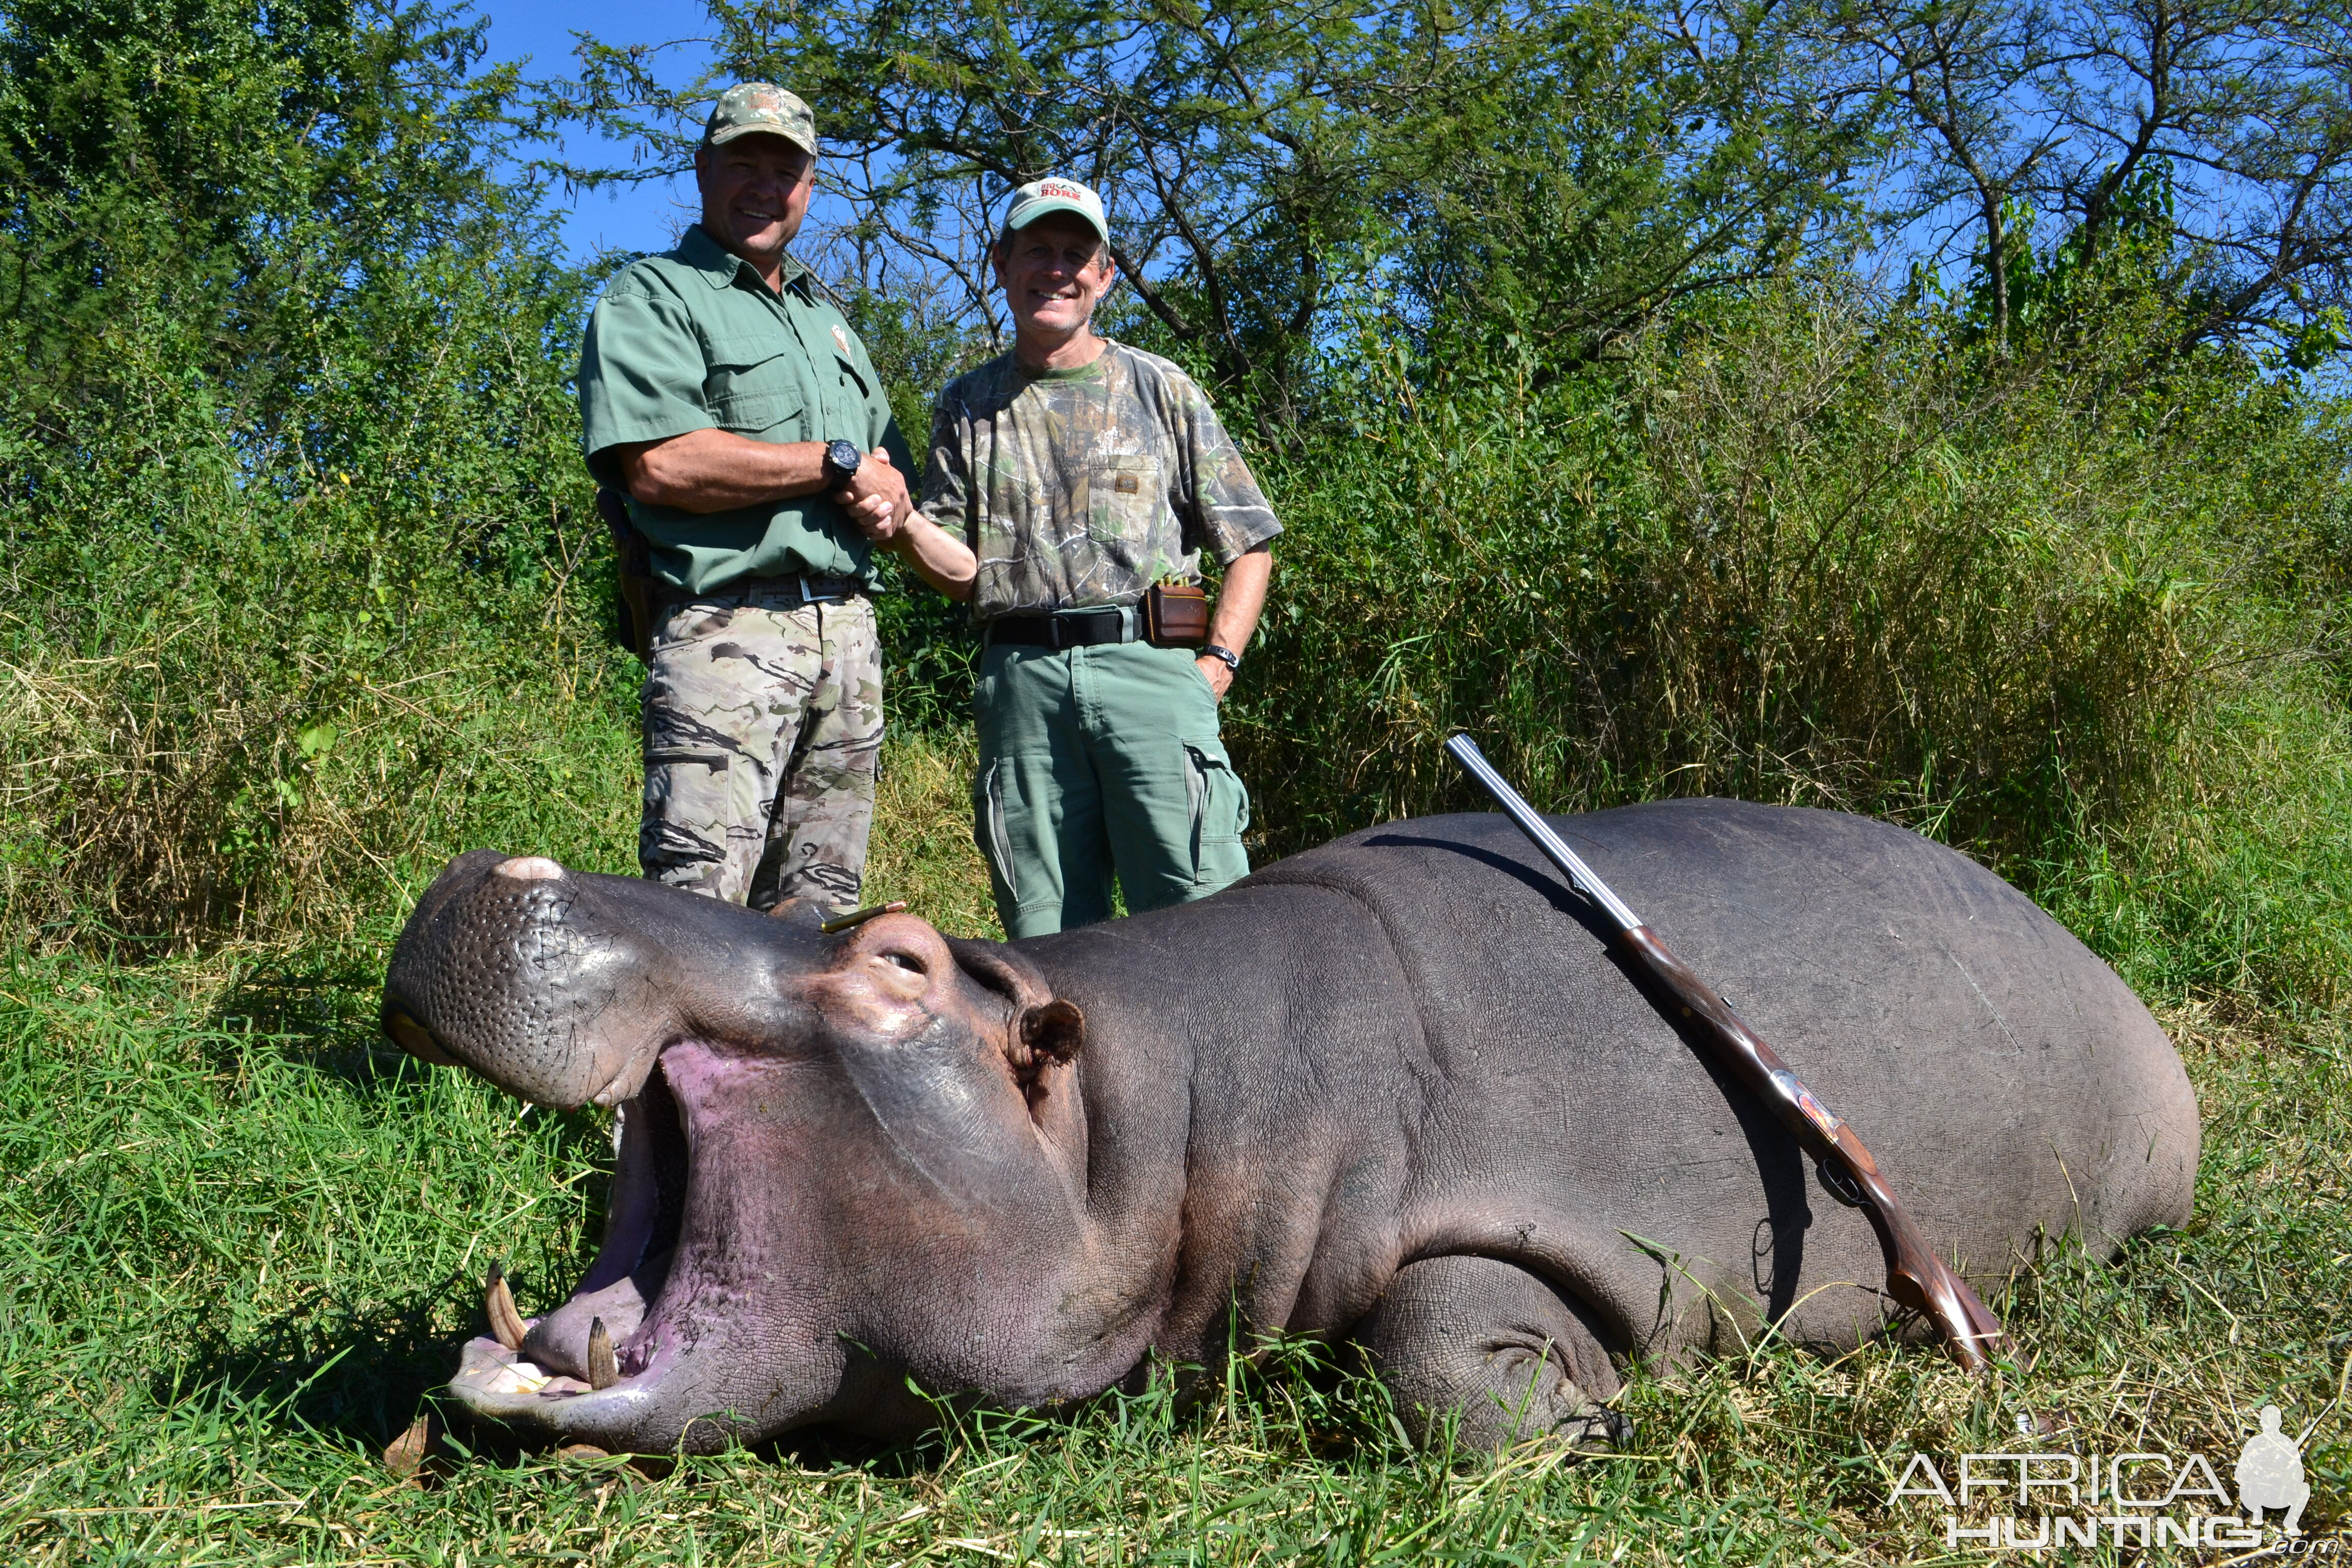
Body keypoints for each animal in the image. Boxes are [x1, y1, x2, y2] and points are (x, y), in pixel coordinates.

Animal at [385, 804, 2201, 1457]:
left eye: (897, 959)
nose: (501, 869)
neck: (1153, 1117)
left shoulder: (1547, 1212)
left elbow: (1442, 1349)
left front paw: (1591, 1433)